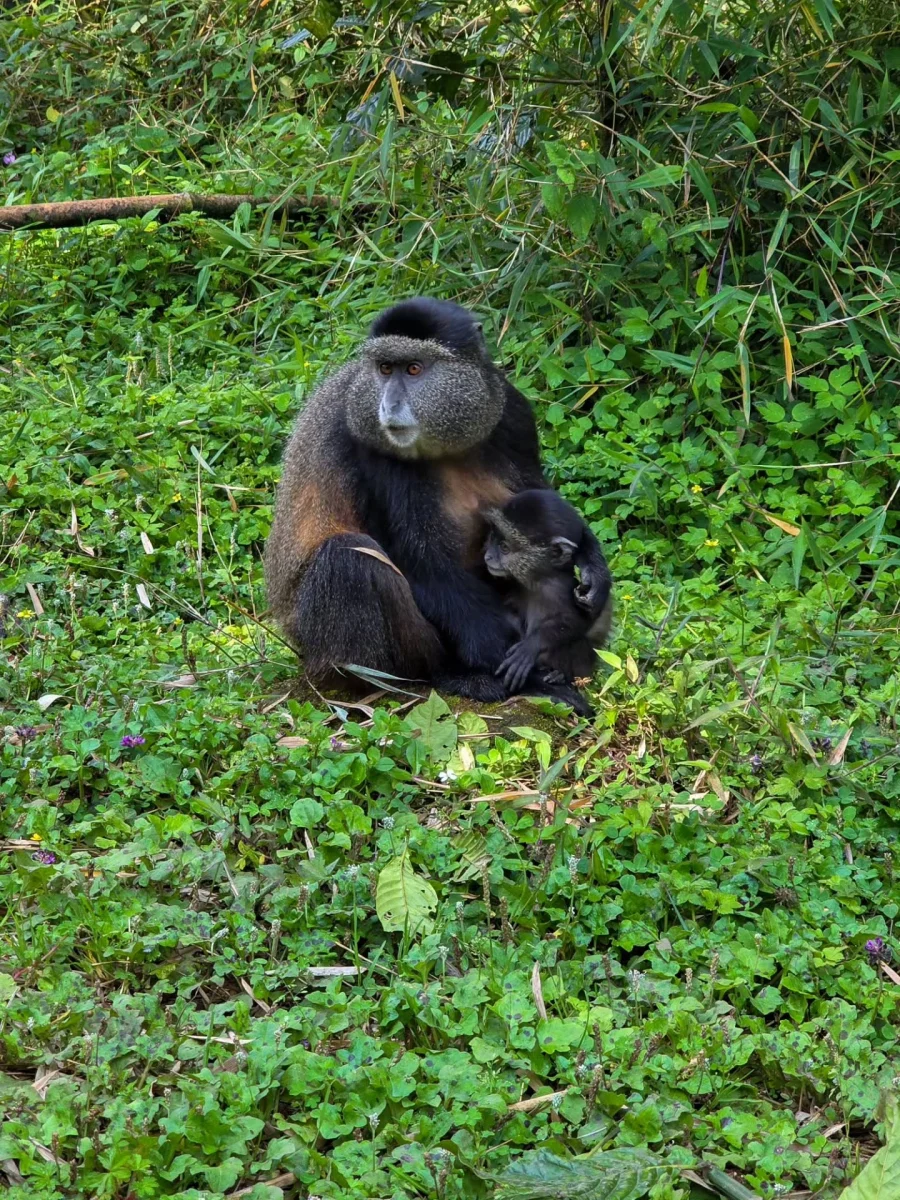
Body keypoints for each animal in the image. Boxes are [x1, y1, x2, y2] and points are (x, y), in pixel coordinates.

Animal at [482, 489, 611, 714]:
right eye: (493, 538)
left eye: (504, 547)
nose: (488, 556)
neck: (540, 580)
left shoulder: (565, 591)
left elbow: (579, 622)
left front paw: (531, 646)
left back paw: (560, 675)